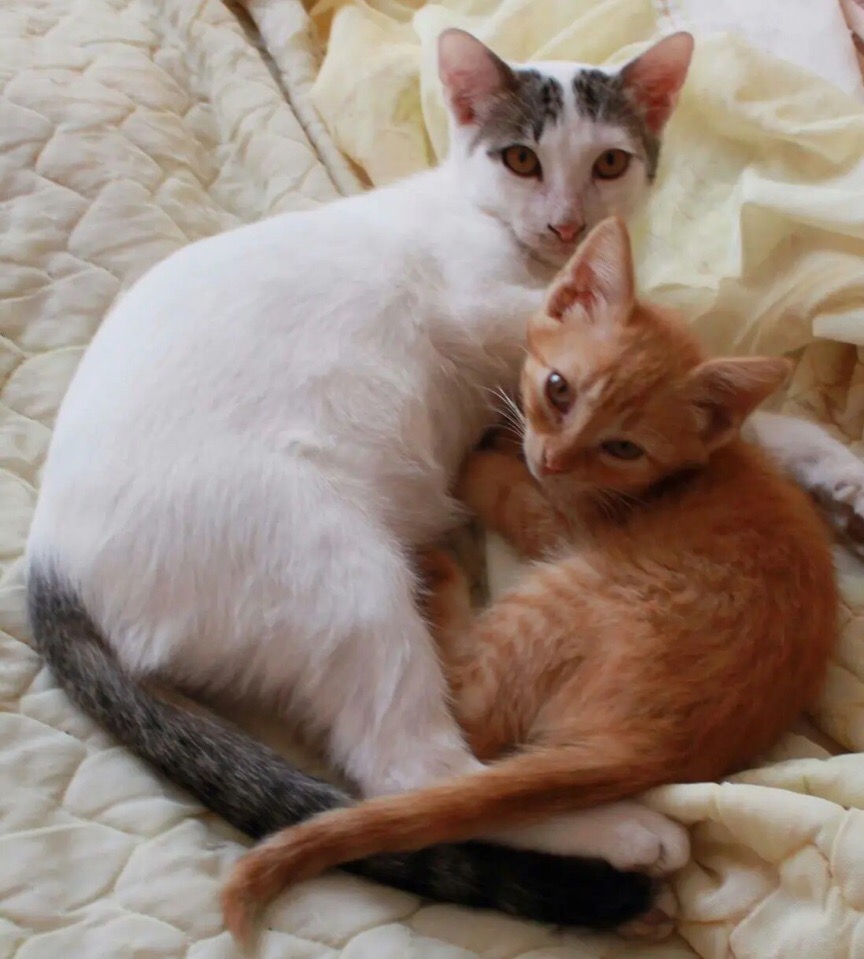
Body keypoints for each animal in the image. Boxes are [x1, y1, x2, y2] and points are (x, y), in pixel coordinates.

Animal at [220, 216, 839, 941]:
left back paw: (435, 567)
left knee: (470, 716)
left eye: (623, 447)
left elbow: (493, 484)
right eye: (559, 387)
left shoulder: (558, 520)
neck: (690, 472)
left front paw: (477, 457)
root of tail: (654, 745)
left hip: (559, 591)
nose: (553, 457)